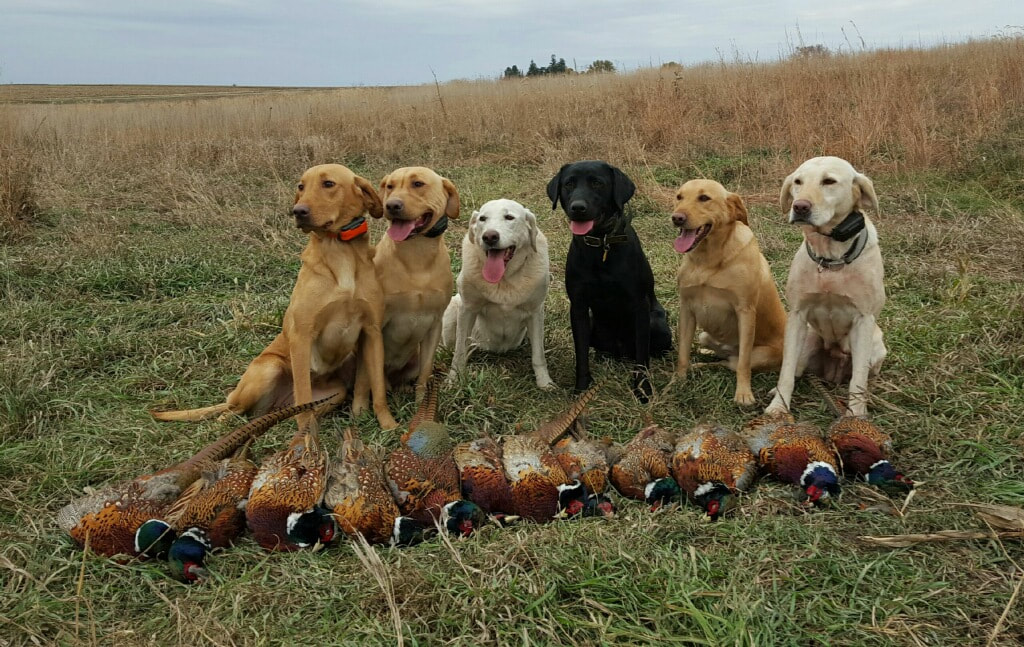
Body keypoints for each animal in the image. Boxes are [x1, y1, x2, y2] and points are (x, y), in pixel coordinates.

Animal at [440, 197, 552, 389]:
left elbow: (539, 355)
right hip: (453, 309)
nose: (489, 236)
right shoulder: (467, 309)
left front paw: (545, 383)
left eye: (509, 217)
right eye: (482, 219)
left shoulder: (536, 312)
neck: (504, 279)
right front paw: (454, 379)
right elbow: (459, 352)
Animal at [770, 155, 888, 413]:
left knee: (867, 376)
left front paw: (855, 415)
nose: (800, 207)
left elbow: (858, 381)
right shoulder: (797, 316)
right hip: (808, 338)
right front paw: (778, 407)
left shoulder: (863, 321)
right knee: (797, 369)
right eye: (798, 182)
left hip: (876, 346)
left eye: (829, 181)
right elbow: (786, 372)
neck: (830, 259)